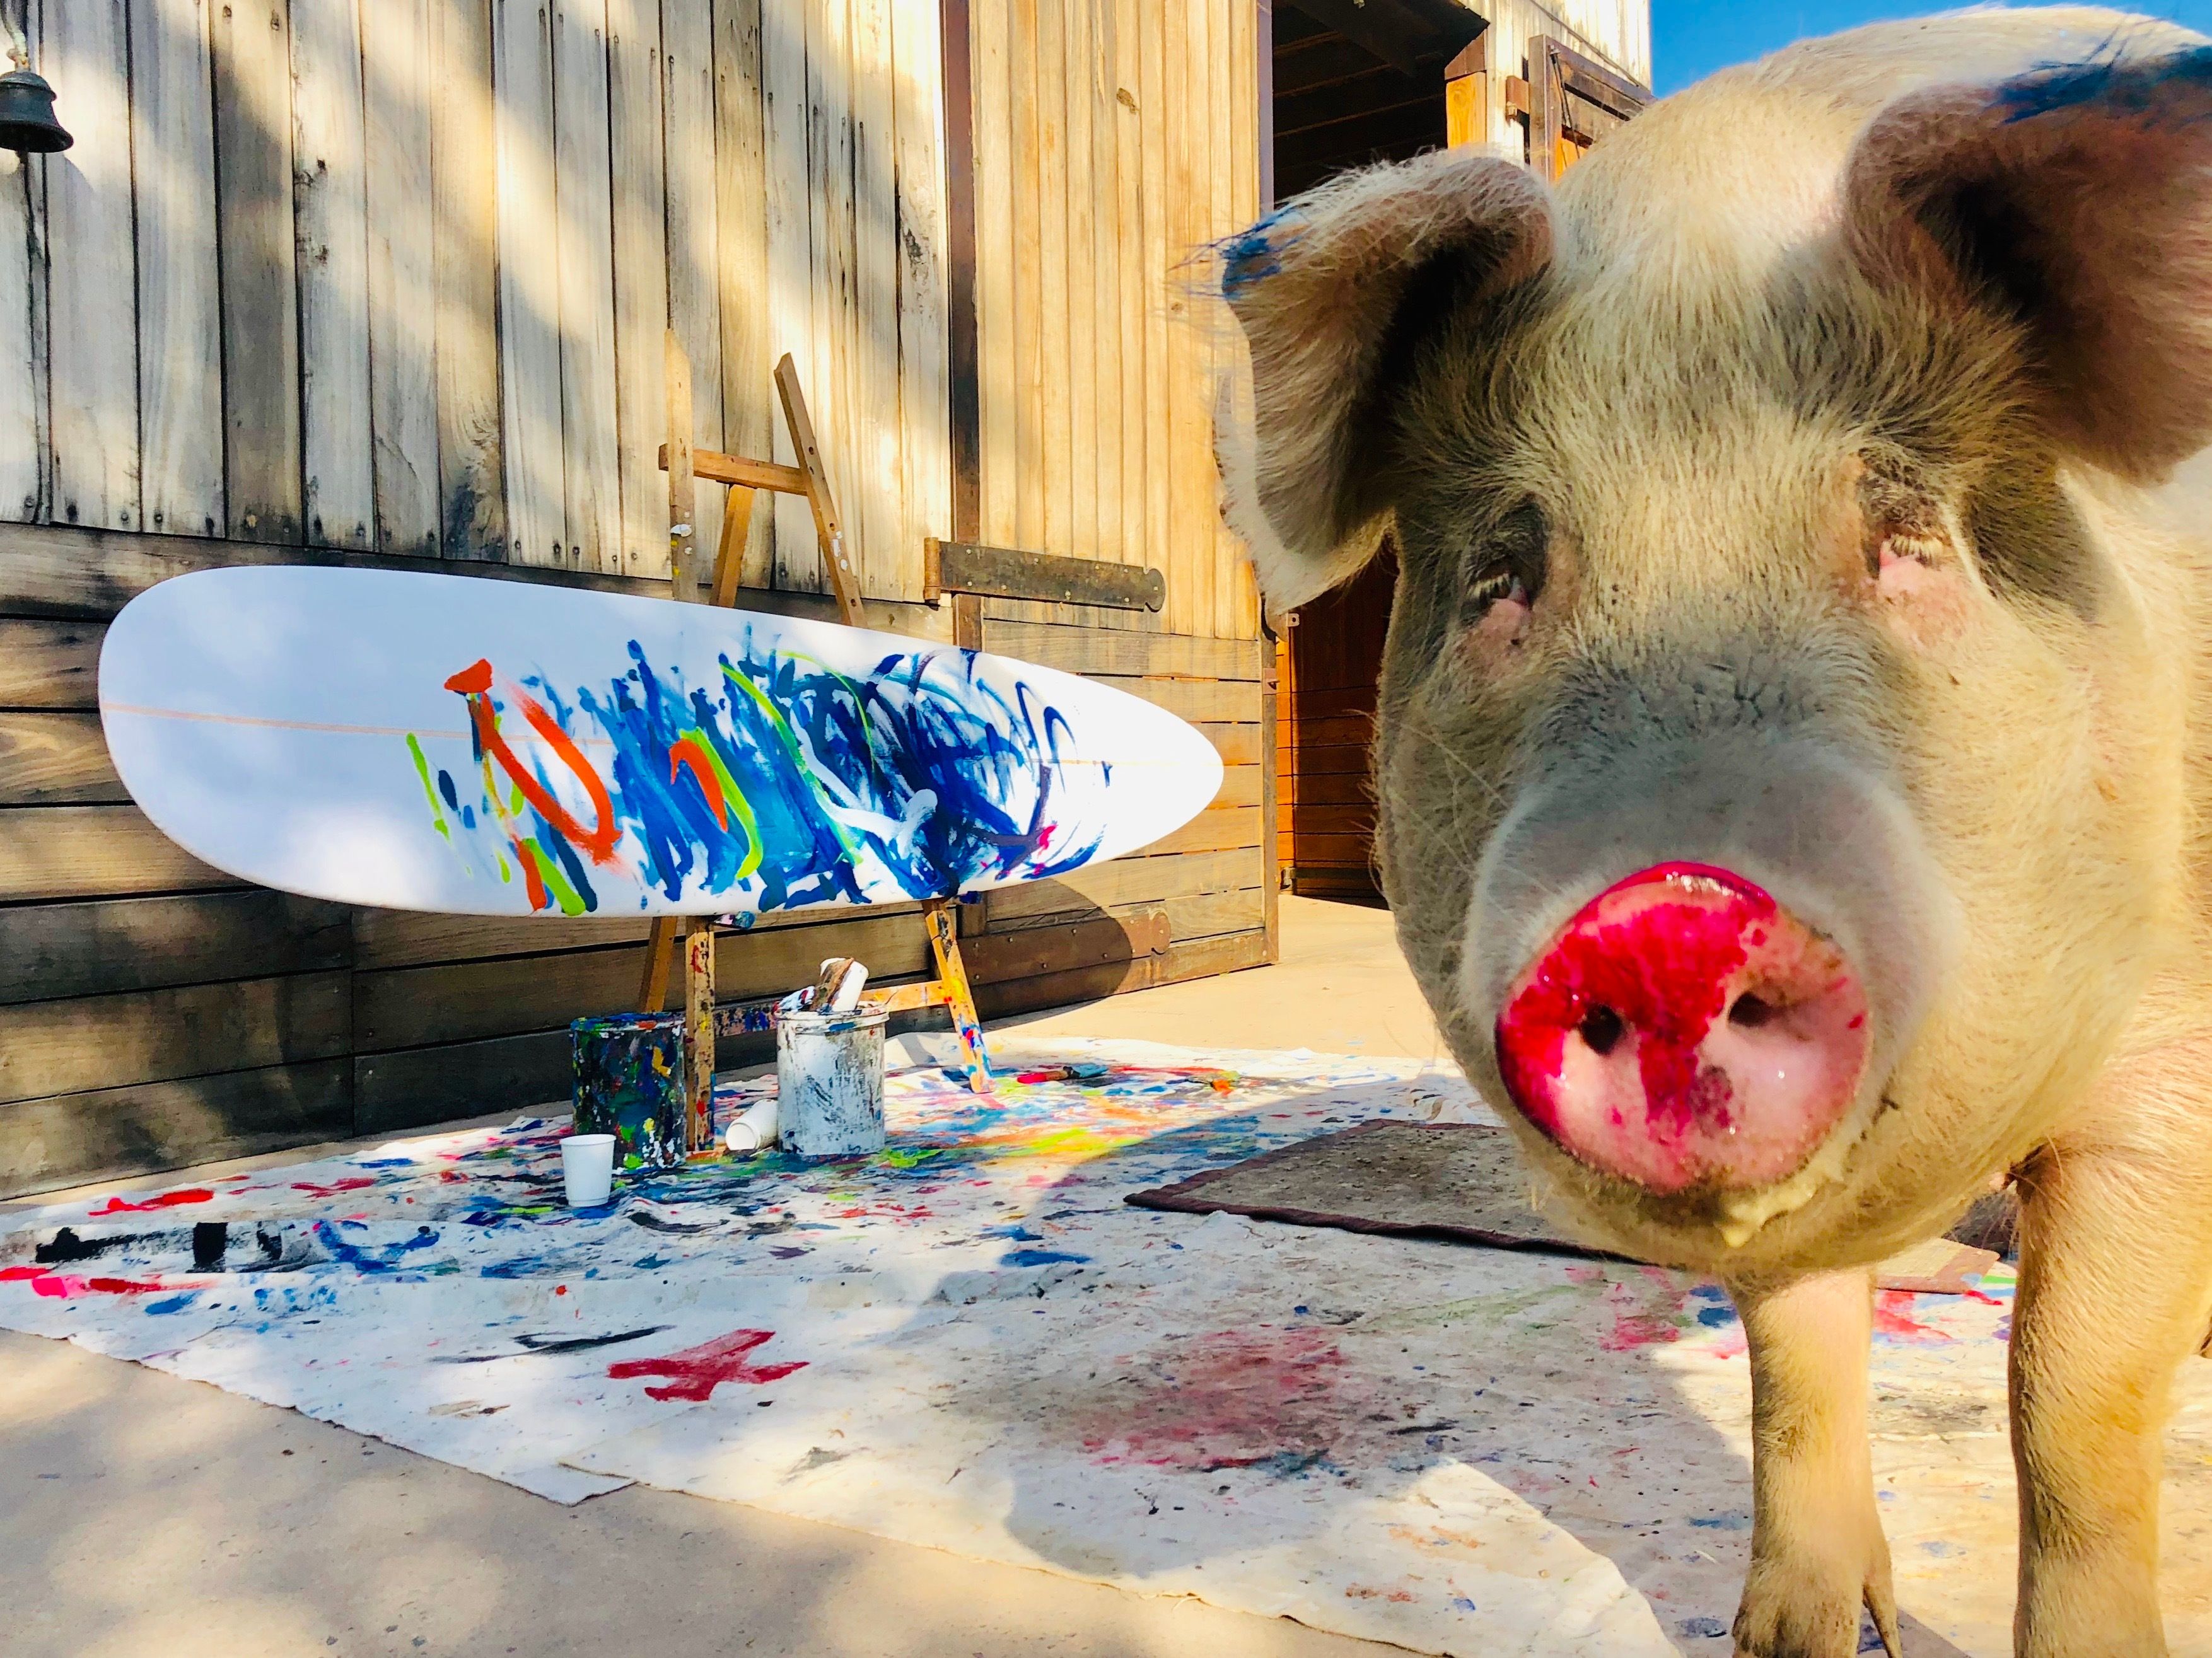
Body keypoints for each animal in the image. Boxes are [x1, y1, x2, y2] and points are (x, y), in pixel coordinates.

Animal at [1216, 9, 2212, 1656]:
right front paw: (1798, 1639)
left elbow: (2069, 1402)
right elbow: (1796, 1356)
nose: (1669, 907)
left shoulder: (2174, 1069)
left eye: (1909, 536)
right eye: (1501, 578)